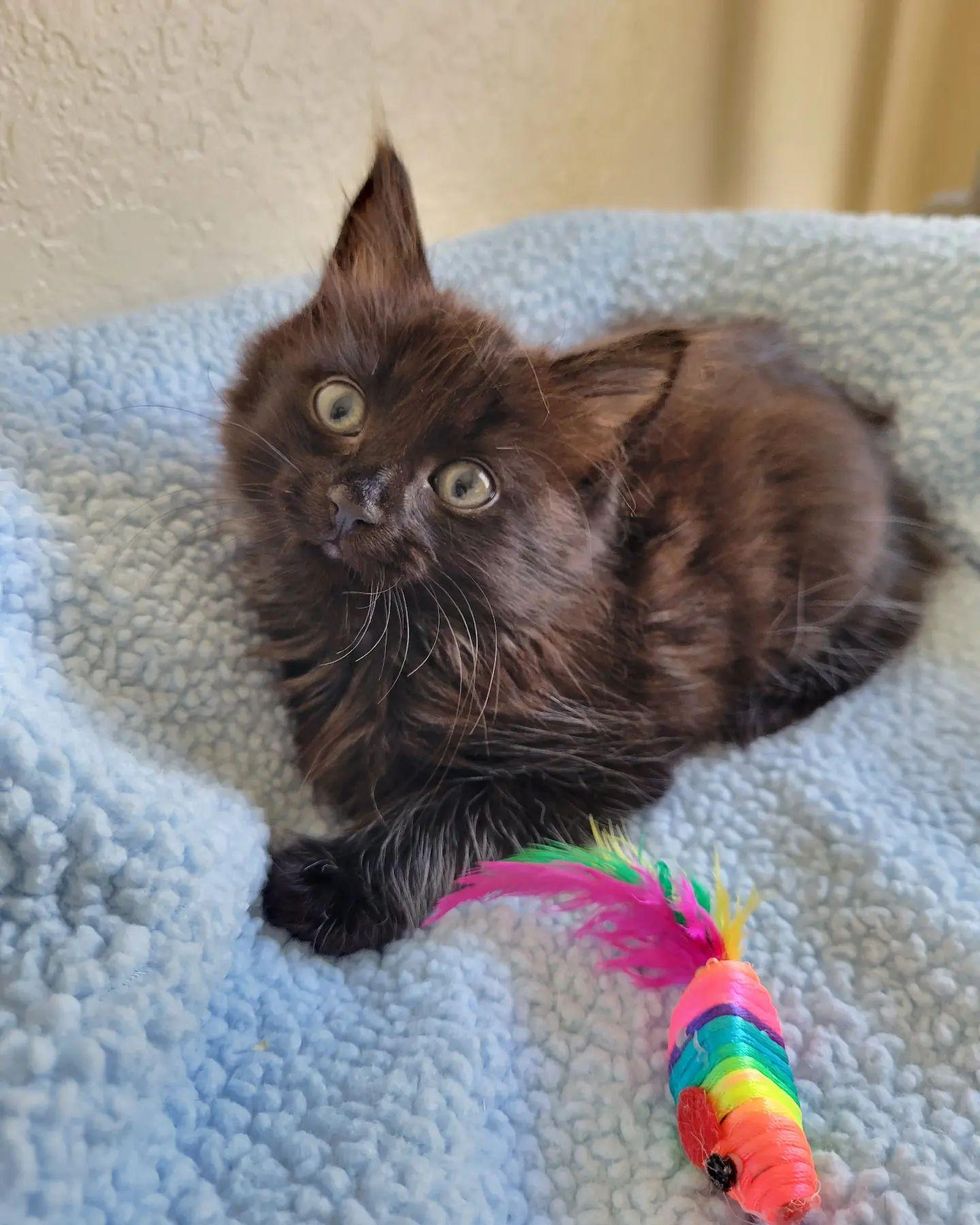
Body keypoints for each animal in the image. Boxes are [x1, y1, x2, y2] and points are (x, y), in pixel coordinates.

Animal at [221, 140, 935, 945]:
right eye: (340, 406)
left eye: (464, 484)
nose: (357, 502)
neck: (379, 635)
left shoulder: (601, 760)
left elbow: (453, 814)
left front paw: (329, 888)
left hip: (843, 574)